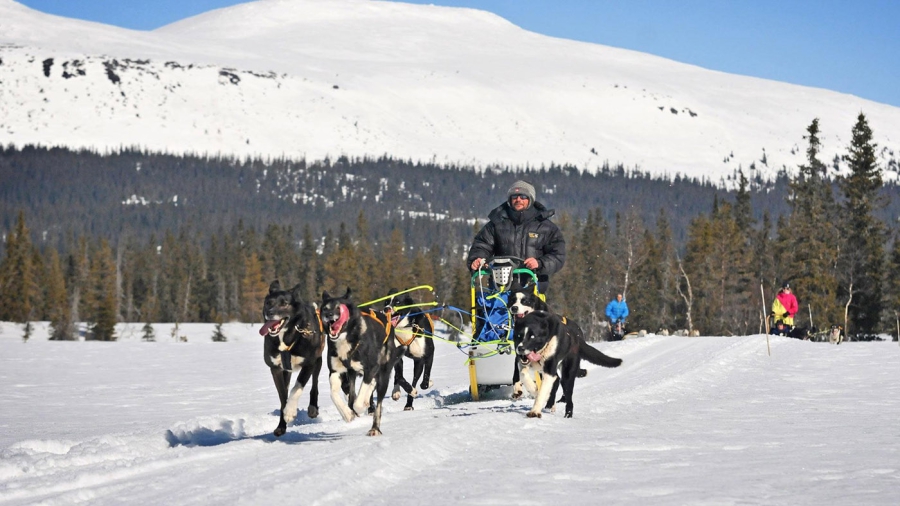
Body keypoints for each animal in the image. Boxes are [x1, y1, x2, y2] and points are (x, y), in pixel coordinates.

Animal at [258, 280, 326, 438]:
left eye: (284, 303)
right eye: (268, 303)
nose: (270, 313)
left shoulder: (308, 364)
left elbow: (297, 387)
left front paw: (290, 411)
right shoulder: (276, 369)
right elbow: (283, 397)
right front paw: (282, 425)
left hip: (318, 361)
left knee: (314, 385)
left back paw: (312, 408)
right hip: (287, 371)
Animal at [316, 288, 400, 434]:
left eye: (338, 307)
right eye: (325, 308)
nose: (328, 315)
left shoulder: (371, 368)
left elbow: (358, 401)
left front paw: (360, 406)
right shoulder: (335, 371)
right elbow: (334, 394)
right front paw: (347, 414)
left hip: (383, 374)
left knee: (377, 402)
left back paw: (374, 428)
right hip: (352, 374)